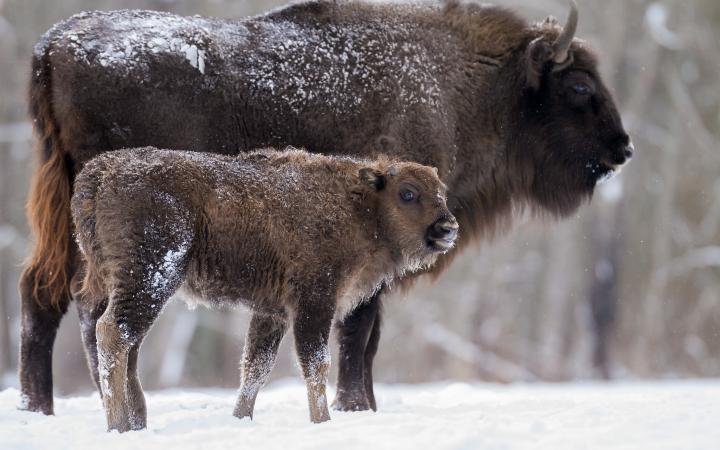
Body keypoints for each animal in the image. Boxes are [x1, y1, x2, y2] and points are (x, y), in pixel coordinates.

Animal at [71, 146, 456, 430]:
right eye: (408, 193)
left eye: (442, 193)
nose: (447, 227)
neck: (360, 205)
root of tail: (99, 172)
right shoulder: (314, 301)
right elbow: (316, 363)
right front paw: (322, 422)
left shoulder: (273, 312)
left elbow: (256, 367)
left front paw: (241, 418)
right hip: (150, 278)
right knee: (114, 333)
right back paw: (119, 424)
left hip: (121, 282)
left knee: (121, 341)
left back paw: (135, 421)